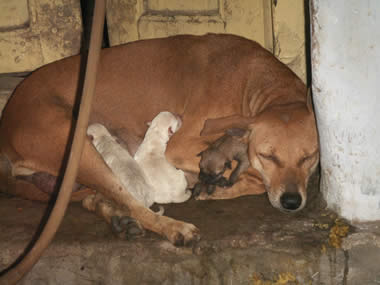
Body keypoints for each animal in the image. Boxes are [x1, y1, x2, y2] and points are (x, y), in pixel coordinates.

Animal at [0, 32, 320, 242]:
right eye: (268, 155)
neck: (259, 85)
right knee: (131, 200)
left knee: (101, 197)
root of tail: (7, 117)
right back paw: (173, 228)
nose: (292, 202)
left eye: (310, 157)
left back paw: (118, 217)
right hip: (78, 148)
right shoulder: (183, 145)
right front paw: (220, 186)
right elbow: (252, 174)